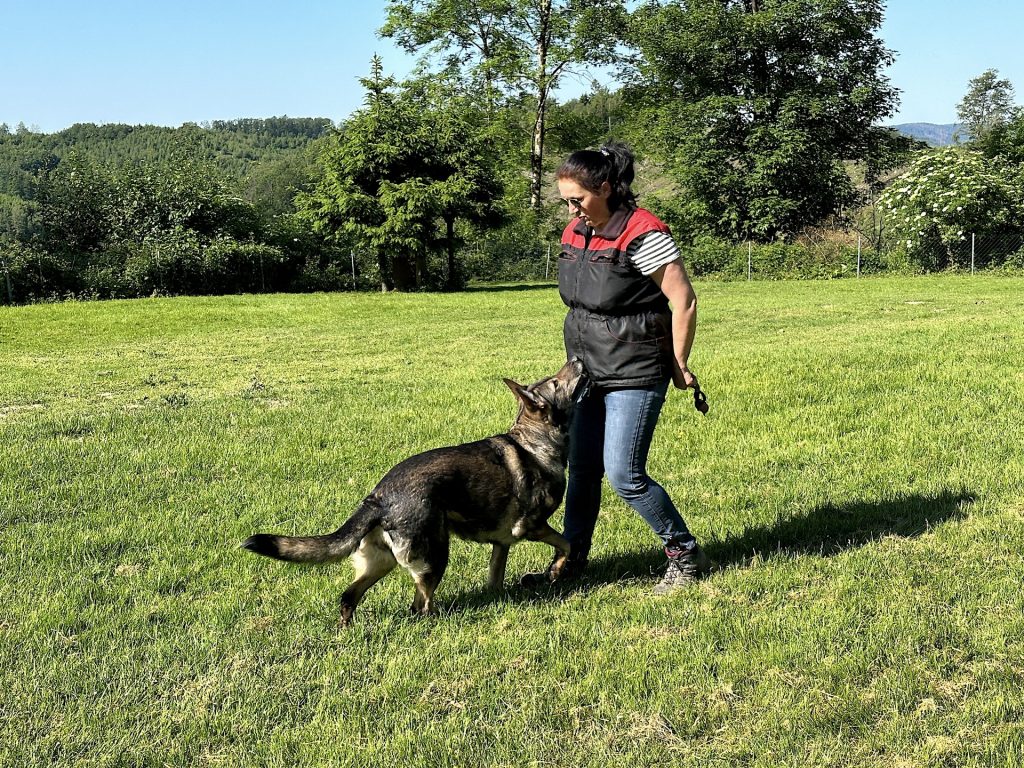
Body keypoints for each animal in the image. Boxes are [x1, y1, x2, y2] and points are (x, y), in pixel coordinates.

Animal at [240, 358, 589, 626]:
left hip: (381, 561)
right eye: (556, 382)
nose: (577, 359)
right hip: (435, 557)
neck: (533, 442)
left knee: (349, 596)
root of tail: (379, 497)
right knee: (419, 607)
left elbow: (496, 578)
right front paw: (556, 571)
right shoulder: (531, 526)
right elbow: (567, 543)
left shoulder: (501, 544)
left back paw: (345, 630)